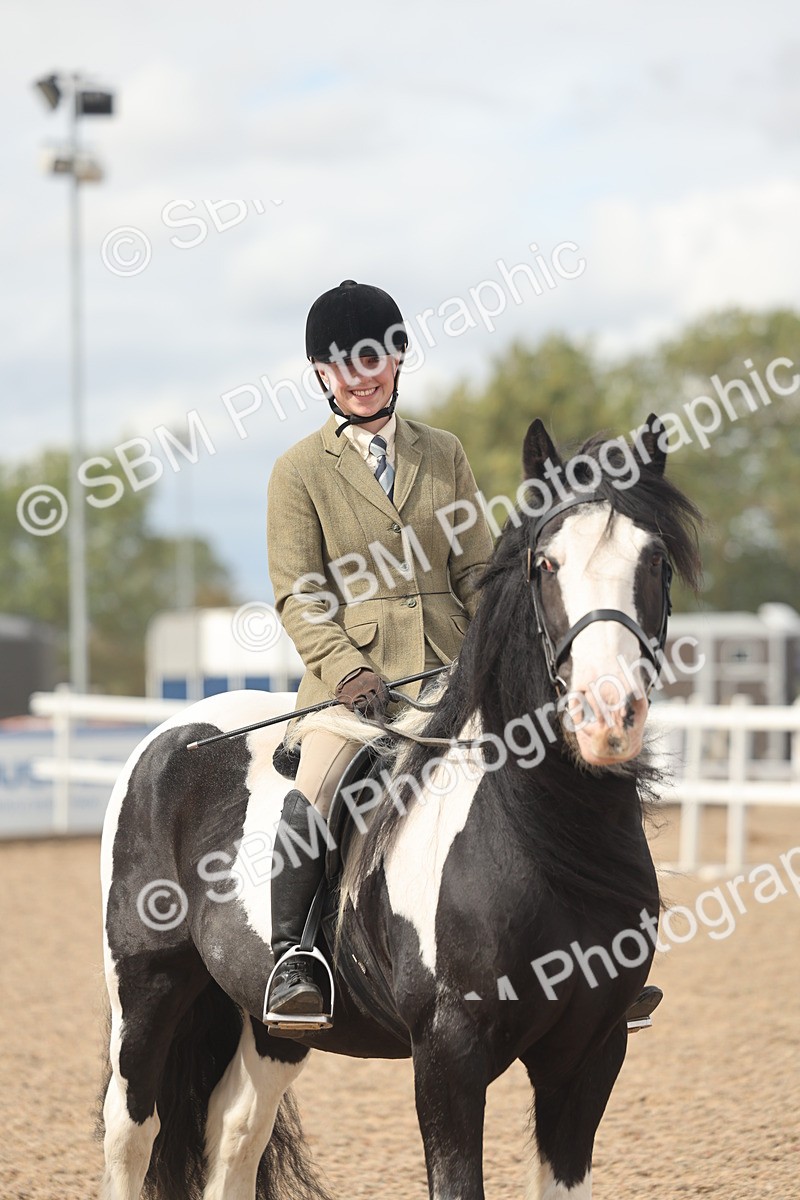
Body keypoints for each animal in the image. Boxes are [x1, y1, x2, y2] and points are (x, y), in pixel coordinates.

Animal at [99, 414, 701, 1200]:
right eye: (545, 564)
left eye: (655, 563)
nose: (606, 718)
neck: (548, 837)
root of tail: (177, 733)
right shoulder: (447, 1055)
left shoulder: (589, 1055)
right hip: (146, 986)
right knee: (131, 1133)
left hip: (270, 1018)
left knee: (234, 1133)